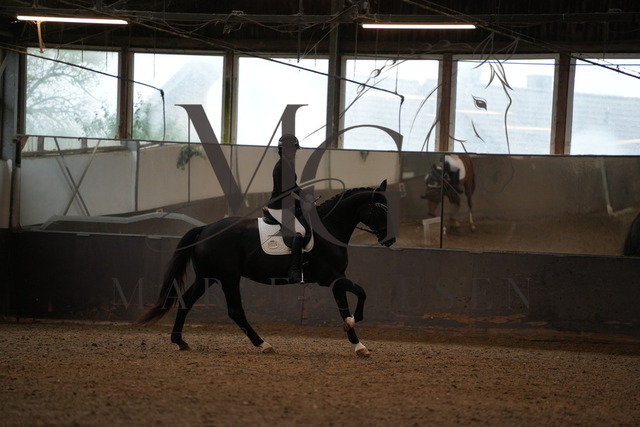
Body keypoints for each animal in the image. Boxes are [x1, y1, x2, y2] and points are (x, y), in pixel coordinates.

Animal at [137, 180, 395, 357]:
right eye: (381, 210)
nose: (390, 240)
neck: (329, 229)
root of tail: (205, 229)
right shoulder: (331, 276)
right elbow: (361, 293)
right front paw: (354, 322)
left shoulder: (336, 279)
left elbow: (344, 307)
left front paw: (358, 344)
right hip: (228, 277)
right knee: (235, 311)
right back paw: (263, 344)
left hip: (207, 277)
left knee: (186, 302)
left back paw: (180, 341)